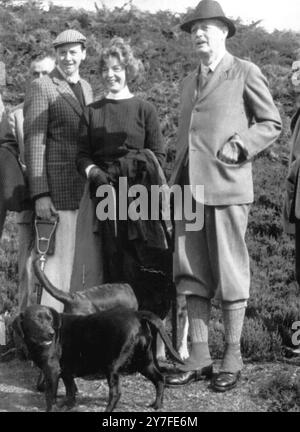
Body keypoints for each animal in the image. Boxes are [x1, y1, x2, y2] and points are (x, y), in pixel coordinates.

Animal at [12, 304, 184, 412]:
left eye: (50, 319)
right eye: (37, 319)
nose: (51, 333)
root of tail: (137, 314)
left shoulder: (52, 371)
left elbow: (50, 396)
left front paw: (52, 408)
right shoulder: (66, 372)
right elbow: (71, 392)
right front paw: (67, 406)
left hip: (113, 366)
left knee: (116, 393)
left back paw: (107, 410)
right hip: (143, 362)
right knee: (160, 379)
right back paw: (157, 405)